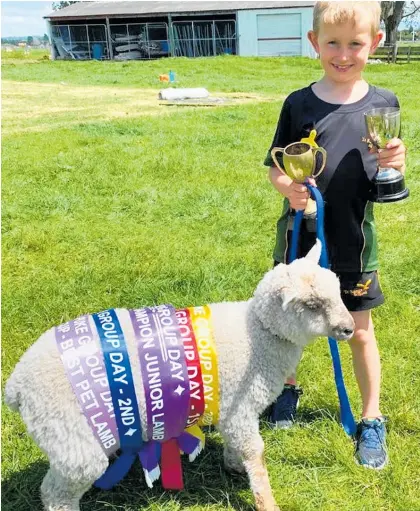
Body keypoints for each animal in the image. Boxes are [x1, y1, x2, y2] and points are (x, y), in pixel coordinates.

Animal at [5, 242, 354, 511]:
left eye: (338, 291)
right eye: (311, 304)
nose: (349, 328)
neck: (257, 333)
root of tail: (16, 385)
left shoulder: (231, 409)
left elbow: (237, 445)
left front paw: (233, 466)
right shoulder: (240, 407)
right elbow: (255, 454)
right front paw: (265, 500)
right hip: (70, 436)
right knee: (56, 492)